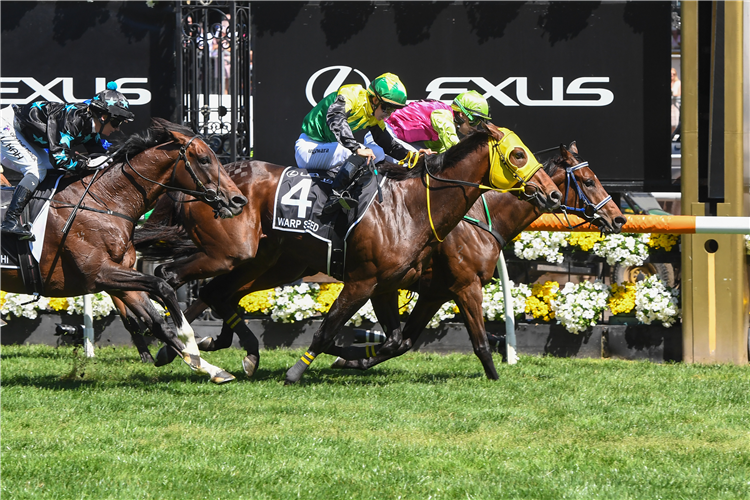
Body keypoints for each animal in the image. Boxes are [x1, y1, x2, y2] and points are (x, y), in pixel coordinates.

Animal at [0, 117, 248, 382]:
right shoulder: (99, 273)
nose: (238, 200)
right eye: (204, 159)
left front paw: (209, 368)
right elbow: (162, 288)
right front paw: (191, 344)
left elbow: (156, 320)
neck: (105, 202)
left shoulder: (118, 278)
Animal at [132, 126, 564, 382]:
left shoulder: (390, 285)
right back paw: (179, 342)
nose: (553, 194)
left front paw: (346, 358)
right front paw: (297, 371)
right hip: (230, 252)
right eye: (518, 154)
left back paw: (219, 351)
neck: (408, 207)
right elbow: (327, 328)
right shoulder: (371, 280)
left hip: (269, 261)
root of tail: (207, 182)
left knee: (217, 293)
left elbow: (396, 340)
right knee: (171, 277)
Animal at [332, 144, 632, 378]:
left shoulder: (434, 293)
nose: (619, 218)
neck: (481, 220)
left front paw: (350, 359)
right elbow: (479, 343)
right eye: (589, 181)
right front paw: (495, 378)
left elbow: (403, 342)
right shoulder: (467, 286)